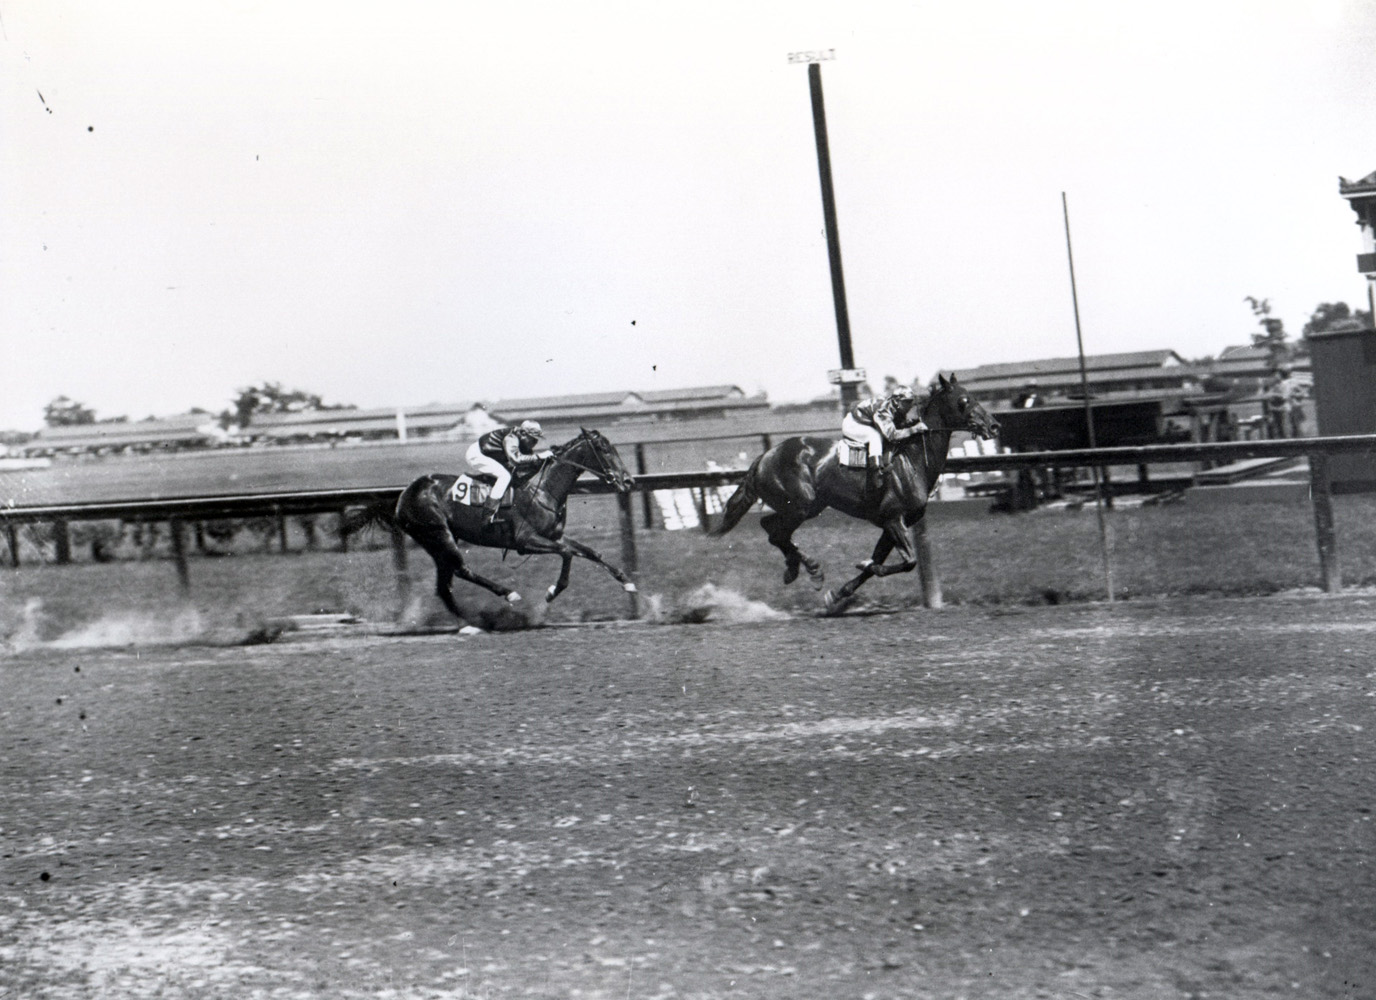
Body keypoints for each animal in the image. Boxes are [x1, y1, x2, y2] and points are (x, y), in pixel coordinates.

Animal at [388, 426, 638, 629]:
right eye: (604, 449)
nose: (628, 481)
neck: (543, 491)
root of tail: (405, 494)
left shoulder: (554, 536)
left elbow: (590, 552)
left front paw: (627, 582)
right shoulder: (525, 541)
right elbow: (567, 553)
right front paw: (551, 592)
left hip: (440, 542)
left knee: (444, 585)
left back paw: (469, 623)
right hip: (438, 535)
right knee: (461, 570)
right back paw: (507, 595)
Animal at [710, 374, 1001, 610]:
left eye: (975, 397)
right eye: (964, 400)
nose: (994, 426)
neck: (912, 460)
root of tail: (764, 457)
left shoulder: (894, 523)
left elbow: (880, 561)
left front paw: (838, 594)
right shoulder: (893, 519)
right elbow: (906, 561)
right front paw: (863, 566)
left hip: (805, 506)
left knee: (771, 527)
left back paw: (796, 568)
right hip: (800, 505)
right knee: (776, 532)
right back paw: (811, 568)